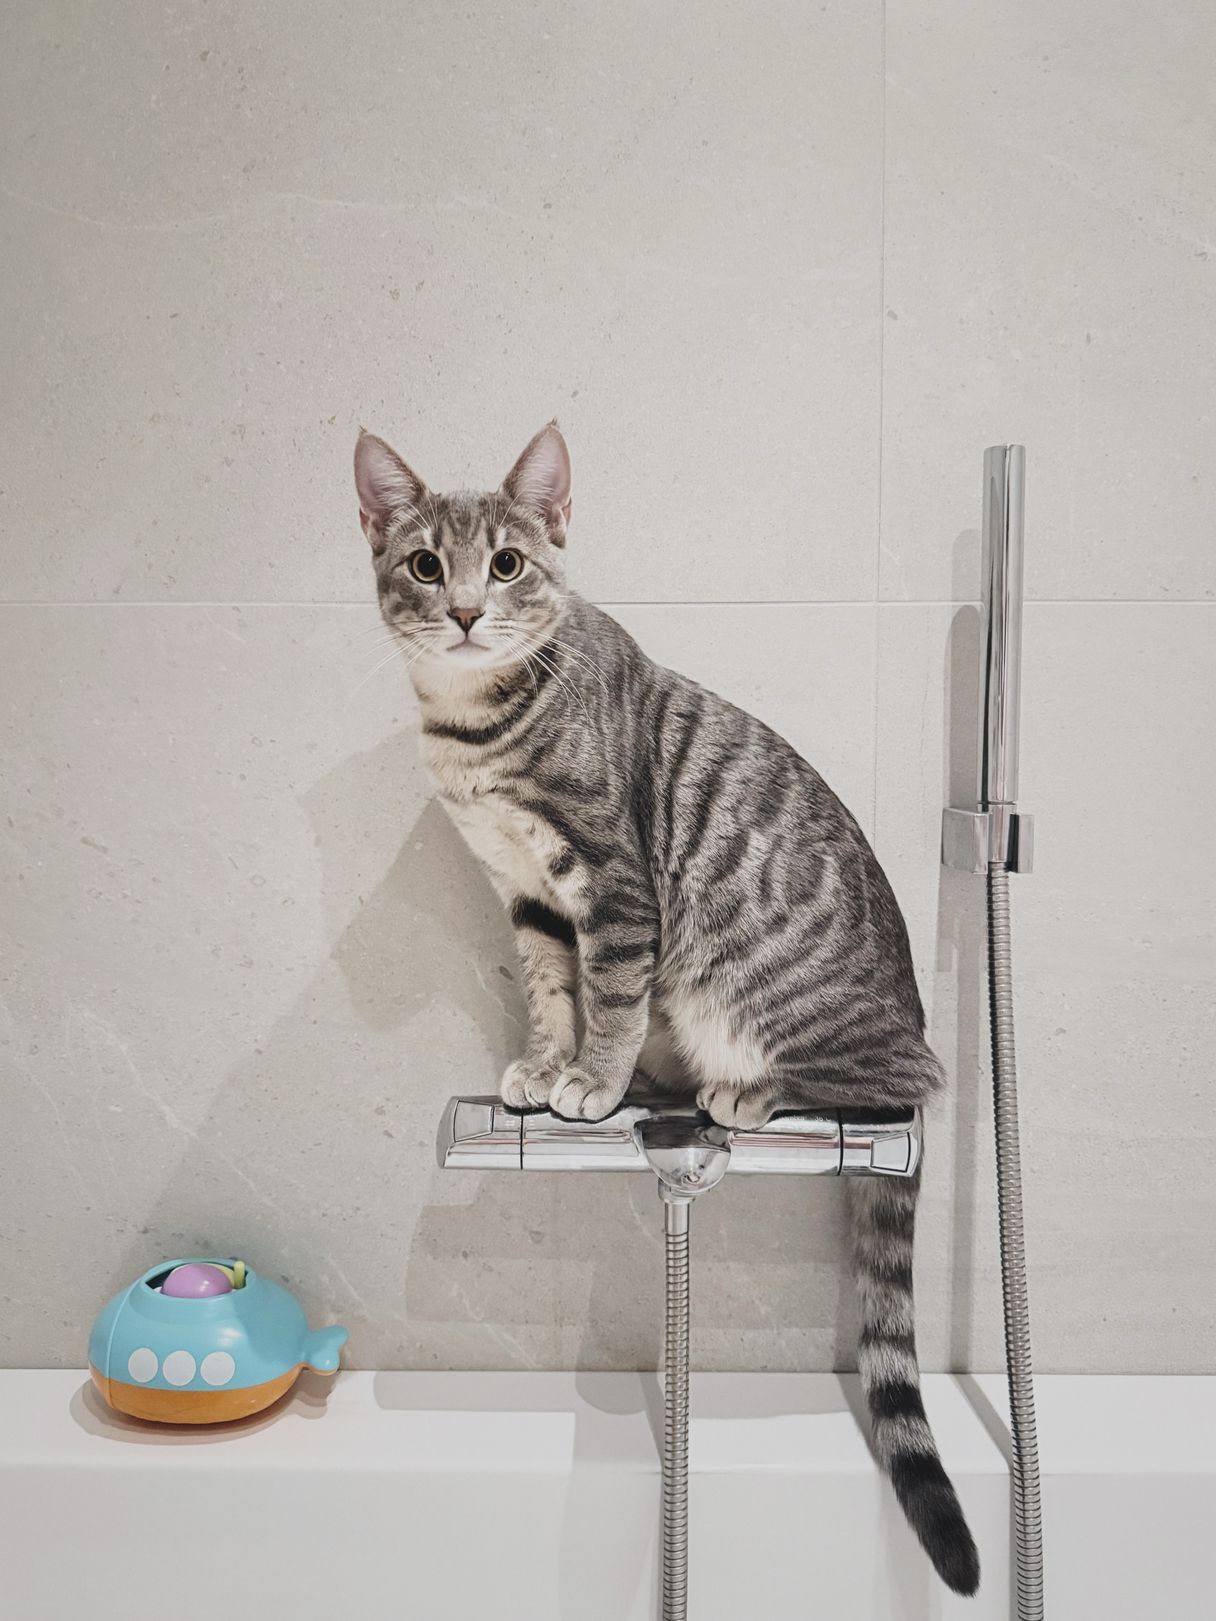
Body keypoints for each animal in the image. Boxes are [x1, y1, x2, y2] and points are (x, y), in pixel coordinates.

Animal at [353, 420, 980, 1596]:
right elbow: (550, 987)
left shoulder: (613, 880)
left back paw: (745, 1091)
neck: (474, 728)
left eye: (506, 563)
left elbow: (607, 992)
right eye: (423, 564)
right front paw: (541, 1067)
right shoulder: (527, 893)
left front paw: (593, 1082)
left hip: (766, 987)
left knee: (898, 1079)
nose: (463, 610)